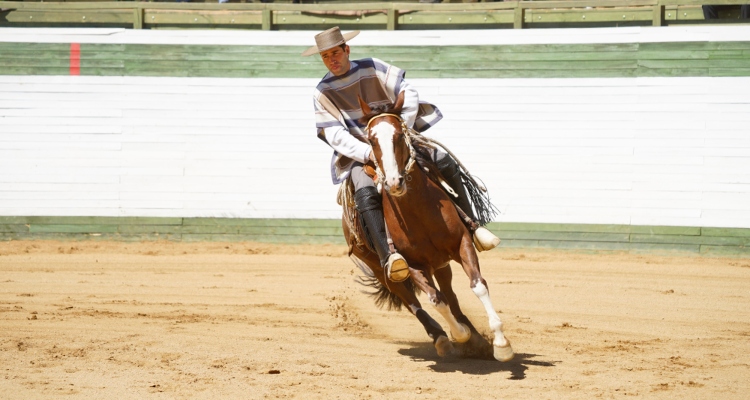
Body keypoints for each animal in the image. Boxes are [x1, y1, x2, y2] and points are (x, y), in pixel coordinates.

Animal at [342, 92, 516, 360]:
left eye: (399, 135)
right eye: (370, 139)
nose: (394, 182)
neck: (418, 212)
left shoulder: (462, 244)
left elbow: (477, 286)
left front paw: (500, 343)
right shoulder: (412, 265)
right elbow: (435, 300)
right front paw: (459, 334)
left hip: (441, 264)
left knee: (451, 296)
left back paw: (475, 338)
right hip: (383, 270)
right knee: (412, 302)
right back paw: (442, 337)